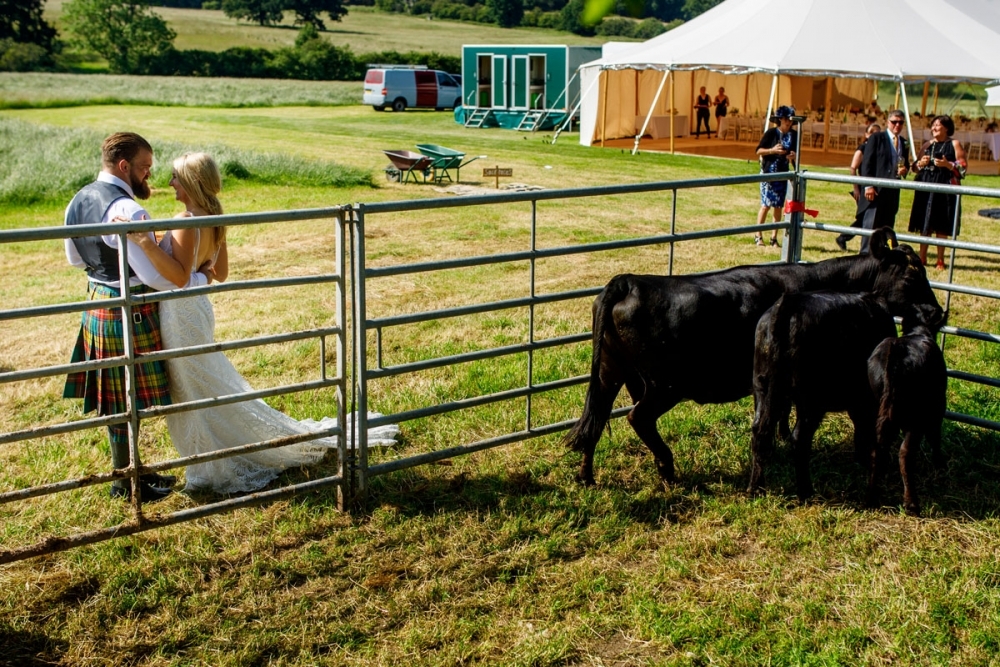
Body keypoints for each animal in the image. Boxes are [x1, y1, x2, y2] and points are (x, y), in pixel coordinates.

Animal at [752, 292, 900, 506]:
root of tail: (789, 302)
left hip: (762, 388)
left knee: (760, 431)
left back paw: (756, 488)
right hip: (811, 402)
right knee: (799, 439)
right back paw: (806, 492)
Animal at [868, 304, 944, 516]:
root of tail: (897, 350)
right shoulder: (937, 407)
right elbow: (935, 435)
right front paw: (939, 463)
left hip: (877, 407)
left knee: (877, 448)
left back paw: (872, 497)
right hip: (916, 416)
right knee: (905, 454)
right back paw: (912, 505)